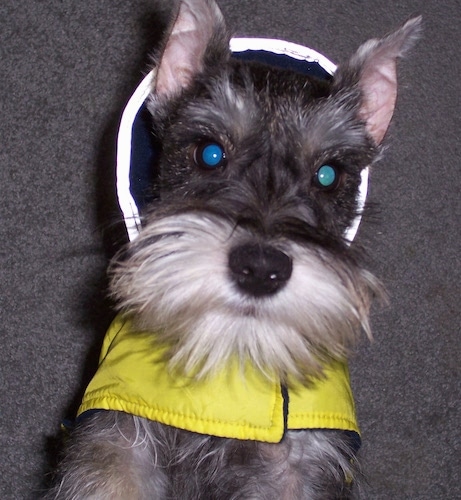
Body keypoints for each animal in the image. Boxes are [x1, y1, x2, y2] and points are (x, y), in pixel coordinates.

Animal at [47, 0, 420, 498]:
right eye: (209, 152)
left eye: (328, 175)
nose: (260, 269)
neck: (228, 362)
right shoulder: (115, 443)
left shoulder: (297, 466)